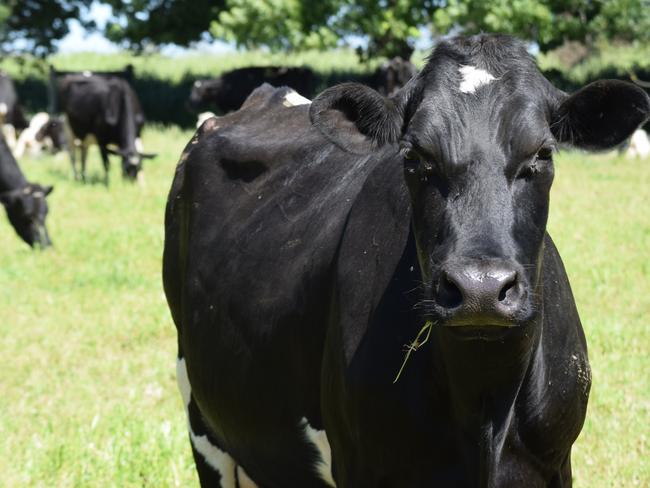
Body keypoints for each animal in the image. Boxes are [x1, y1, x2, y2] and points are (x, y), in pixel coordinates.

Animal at [163, 35, 648, 488]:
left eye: (543, 153)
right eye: (415, 155)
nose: (480, 289)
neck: (484, 405)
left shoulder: (555, 464)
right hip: (201, 417)